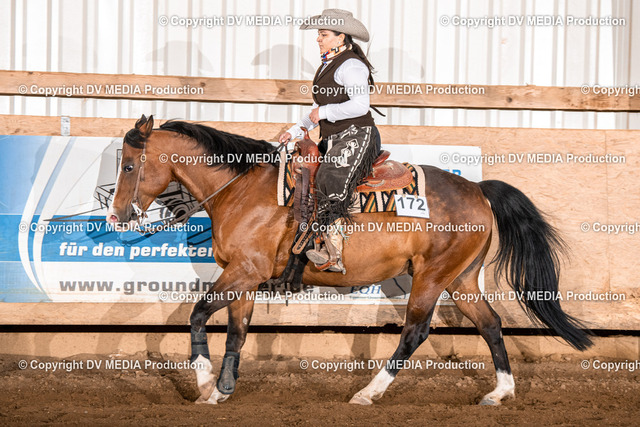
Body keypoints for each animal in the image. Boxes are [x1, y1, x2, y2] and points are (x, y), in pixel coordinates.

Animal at [106, 114, 592, 406]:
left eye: (129, 166)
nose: (116, 214)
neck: (242, 190)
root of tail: (477, 188)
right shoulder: (244, 277)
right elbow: (237, 333)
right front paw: (223, 388)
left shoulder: (243, 272)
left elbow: (198, 314)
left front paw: (206, 383)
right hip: (461, 279)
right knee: (490, 323)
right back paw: (500, 392)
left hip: (432, 277)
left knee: (415, 332)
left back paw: (368, 392)